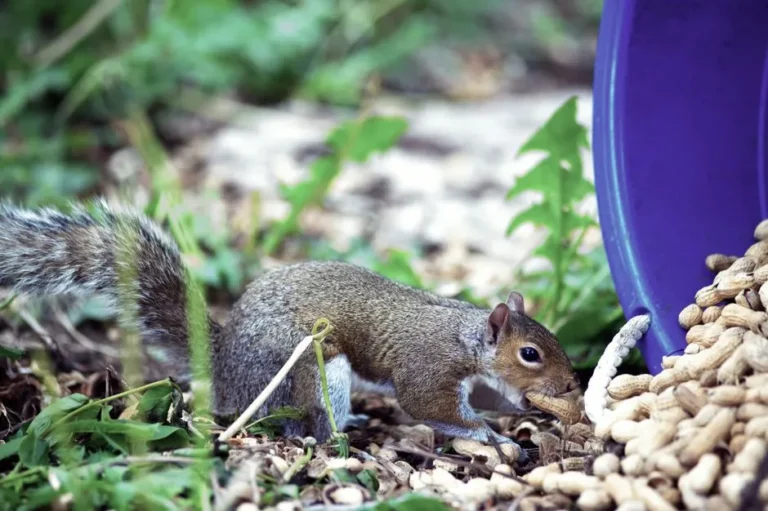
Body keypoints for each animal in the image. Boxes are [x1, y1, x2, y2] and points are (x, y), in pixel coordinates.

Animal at [0, 201, 579, 461]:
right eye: (530, 353)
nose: (572, 384)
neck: (469, 341)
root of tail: (226, 367)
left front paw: (525, 413)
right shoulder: (430, 368)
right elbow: (430, 405)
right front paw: (487, 435)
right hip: (309, 367)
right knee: (308, 425)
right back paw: (344, 439)